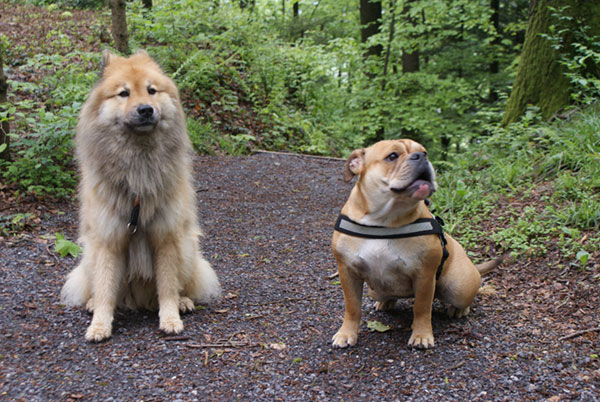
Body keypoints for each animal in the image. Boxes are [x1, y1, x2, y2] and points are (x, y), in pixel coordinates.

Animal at [61, 48, 221, 340]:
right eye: (124, 93)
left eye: (151, 90)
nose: (146, 109)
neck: (138, 164)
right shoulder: (109, 240)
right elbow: (105, 288)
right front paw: (100, 325)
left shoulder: (166, 237)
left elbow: (167, 286)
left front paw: (170, 318)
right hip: (90, 255)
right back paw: (92, 303)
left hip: (187, 248)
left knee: (180, 284)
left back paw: (183, 301)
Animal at [332, 141, 502, 348]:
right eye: (392, 156)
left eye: (424, 152)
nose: (421, 157)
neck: (384, 220)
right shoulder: (347, 272)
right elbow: (352, 306)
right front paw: (346, 333)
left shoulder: (424, 275)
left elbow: (421, 308)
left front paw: (421, 335)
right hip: (375, 291)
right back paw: (386, 302)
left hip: (459, 287)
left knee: (461, 298)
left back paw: (459, 310)